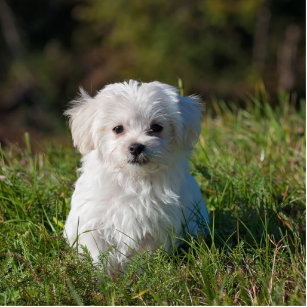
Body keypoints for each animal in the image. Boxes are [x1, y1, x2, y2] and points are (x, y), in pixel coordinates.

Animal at [63, 80, 211, 274]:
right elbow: (97, 254)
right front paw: (102, 277)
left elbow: (145, 255)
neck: (132, 179)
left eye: (156, 127)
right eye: (117, 129)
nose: (136, 147)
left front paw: (141, 274)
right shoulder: (93, 223)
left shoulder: (156, 227)